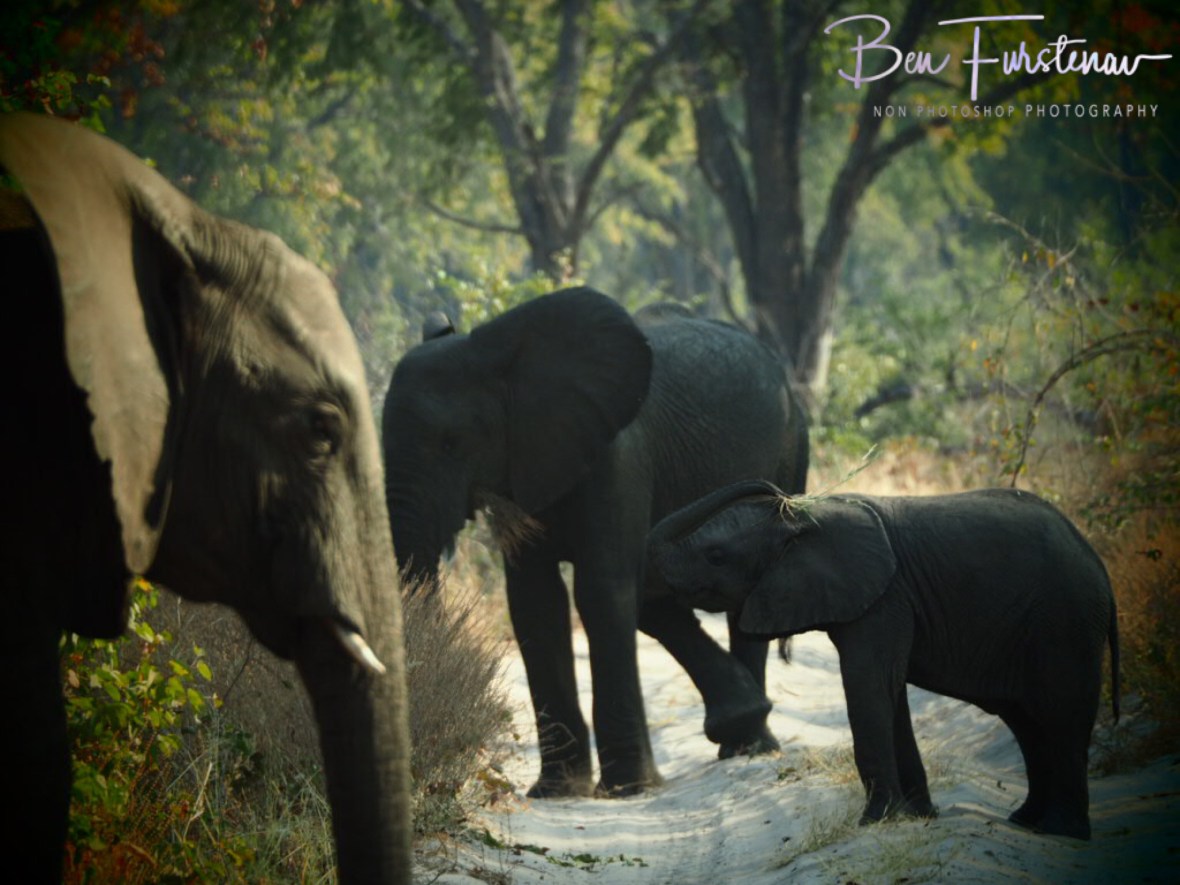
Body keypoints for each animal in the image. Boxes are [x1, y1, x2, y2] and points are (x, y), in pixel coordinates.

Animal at [382, 288, 809, 797]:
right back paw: (742, 725)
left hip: (784, 457)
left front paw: (629, 787)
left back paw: (751, 747)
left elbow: (600, 590)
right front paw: (557, 790)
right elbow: (535, 603)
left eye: (453, 443)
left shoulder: (617, 455)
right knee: (654, 598)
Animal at [647, 480, 1120, 840]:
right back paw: (1026, 821)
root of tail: (1097, 563)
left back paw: (1061, 831)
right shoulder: (880, 599)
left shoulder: (884, 598)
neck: (808, 524)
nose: (779, 493)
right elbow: (888, 693)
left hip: (1064, 622)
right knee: (1027, 722)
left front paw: (875, 822)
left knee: (1060, 716)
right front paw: (916, 816)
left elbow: (868, 687)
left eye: (716, 556)